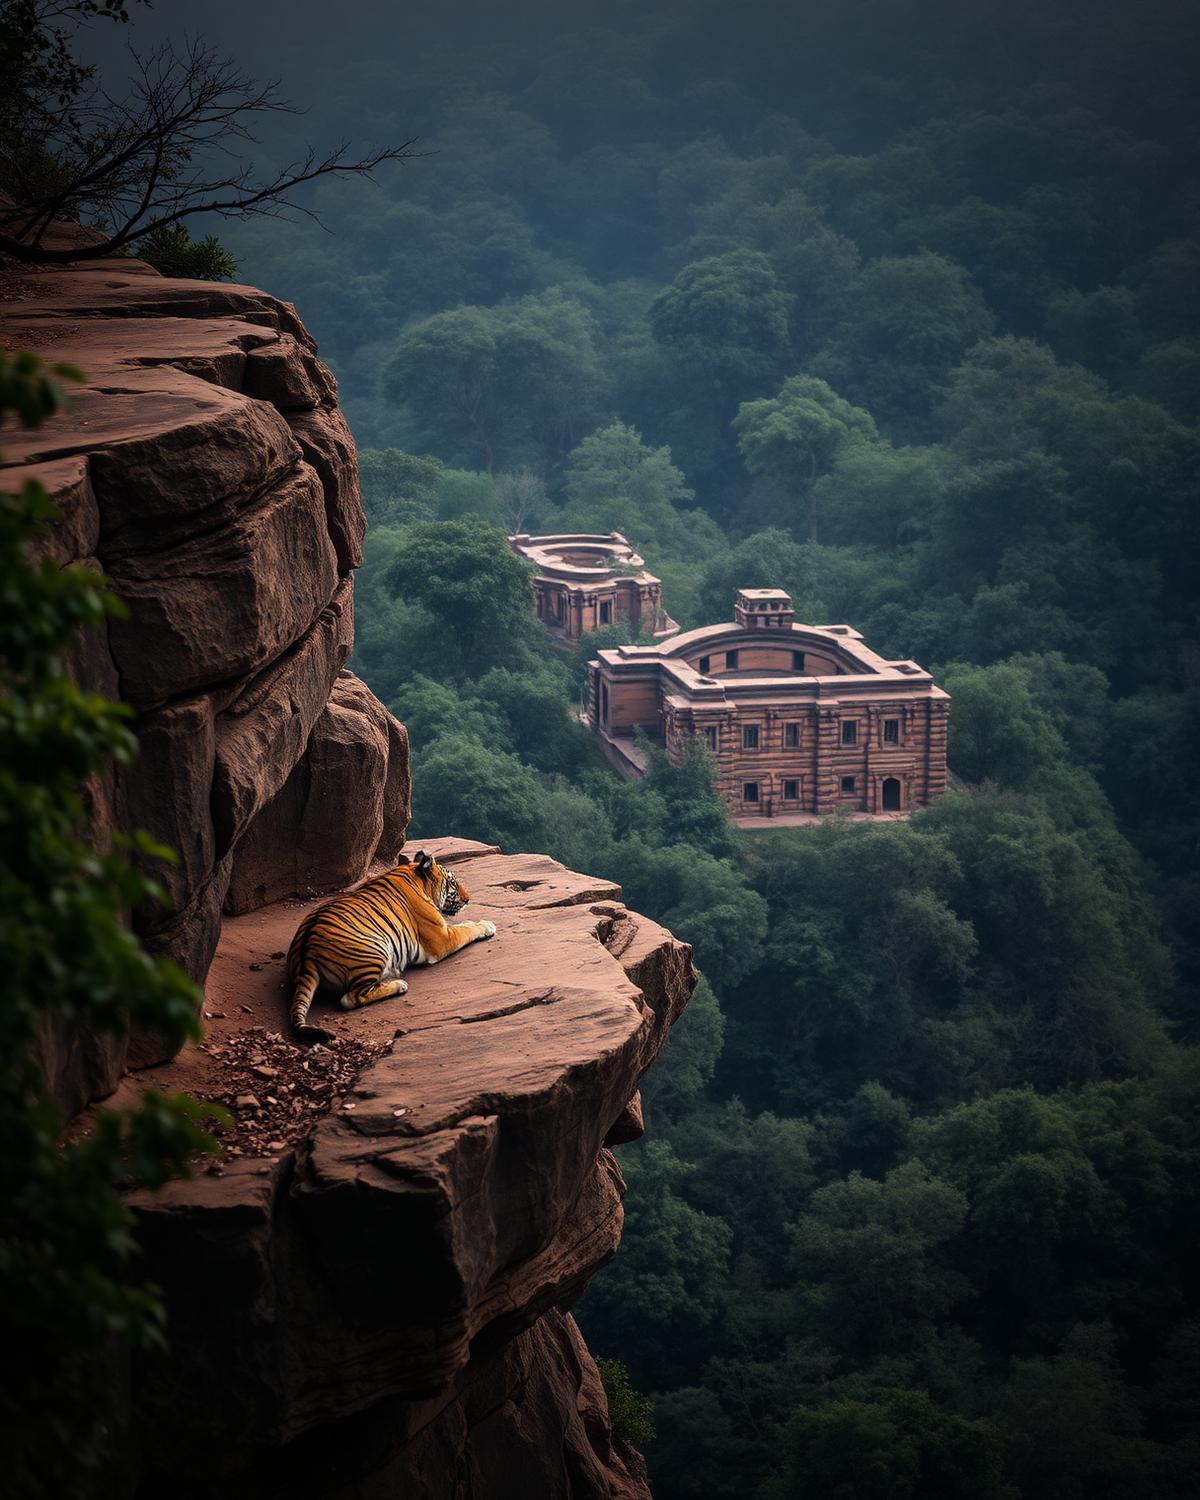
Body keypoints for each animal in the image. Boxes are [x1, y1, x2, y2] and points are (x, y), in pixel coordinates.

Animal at [285, 849, 496, 1044]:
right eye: (453, 883)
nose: (468, 899)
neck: (416, 878)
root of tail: (306, 954)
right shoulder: (441, 938)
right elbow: (466, 929)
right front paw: (487, 925)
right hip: (375, 950)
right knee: (351, 998)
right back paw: (398, 984)